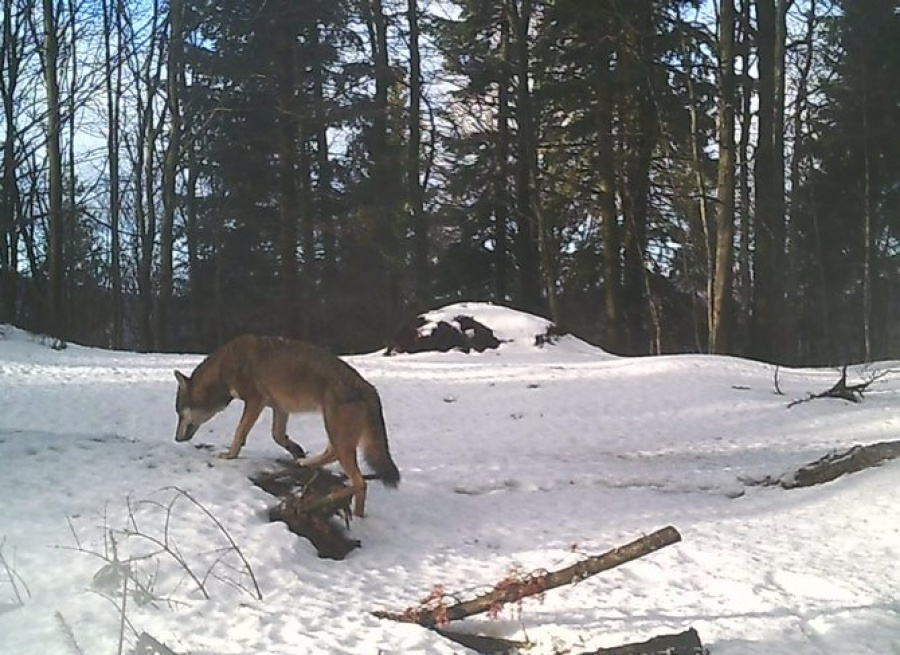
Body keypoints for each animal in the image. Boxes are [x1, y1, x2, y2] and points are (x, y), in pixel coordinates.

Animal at [174, 336, 400, 520]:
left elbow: (240, 432)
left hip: (336, 433)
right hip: (333, 430)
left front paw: (230, 455)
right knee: (333, 456)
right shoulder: (279, 408)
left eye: (179, 413)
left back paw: (326, 503)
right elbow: (278, 436)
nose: (176, 438)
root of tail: (370, 388)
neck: (223, 368)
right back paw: (307, 464)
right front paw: (296, 449)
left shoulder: (255, 401)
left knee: (359, 483)